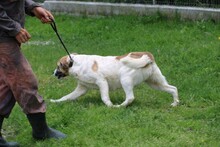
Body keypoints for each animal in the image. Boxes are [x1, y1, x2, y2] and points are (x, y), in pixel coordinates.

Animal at [49, 52, 179, 107]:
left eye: (58, 66)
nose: (53, 73)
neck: (76, 64)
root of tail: (147, 55)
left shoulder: (102, 82)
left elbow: (105, 98)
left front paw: (110, 106)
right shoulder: (82, 88)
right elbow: (66, 97)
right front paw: (55, 101)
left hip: (125, 80)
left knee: (130, 97)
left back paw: (120, 106)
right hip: (155, 83)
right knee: (173, 88)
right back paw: (175, 103)